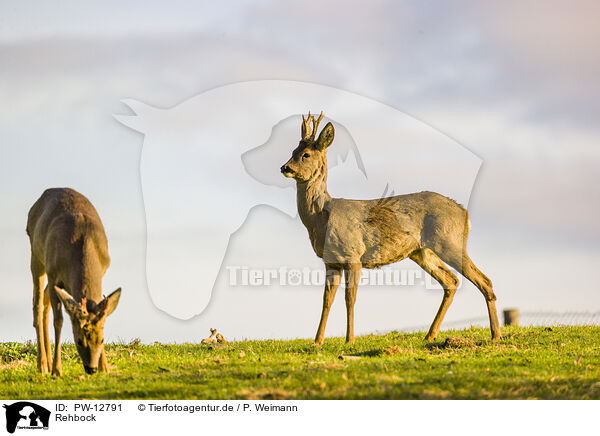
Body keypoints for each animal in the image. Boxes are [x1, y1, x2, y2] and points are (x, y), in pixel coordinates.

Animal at [27, 187, 122, 374]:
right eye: (78, 340)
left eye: (102, 340)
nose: (91, 368)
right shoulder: (53, 272)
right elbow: (59, 321)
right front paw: (57, 370)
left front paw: (105, 367)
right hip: (37, 256)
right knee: (37, 304)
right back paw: (43, 365)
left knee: (45, 301)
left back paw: (47, 362)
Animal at [282, 112, 502, 344]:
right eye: (292, 151)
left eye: (306, 155)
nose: (285, 168)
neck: (321, 217)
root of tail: (464, 212)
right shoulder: (330, 261)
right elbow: (326, 300)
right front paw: (317, 341)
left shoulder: (353, 254)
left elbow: (350, 298)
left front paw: (349, 340)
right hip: (421, 251)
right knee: (451, 281)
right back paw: (430, 334)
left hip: (448, 241)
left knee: (484, 280)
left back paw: (496, 334)